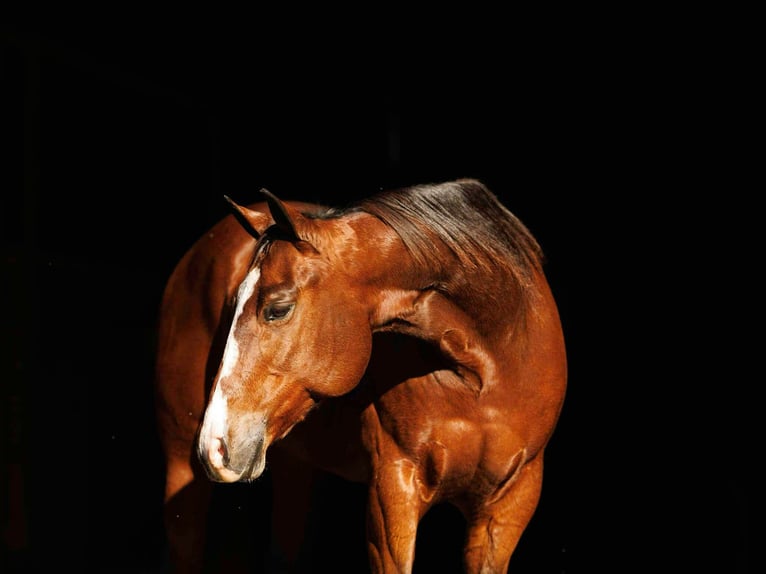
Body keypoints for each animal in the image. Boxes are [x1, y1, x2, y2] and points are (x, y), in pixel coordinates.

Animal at [154, 179, 567, 573]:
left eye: (278, 308)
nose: (215, 445)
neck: (486, 374)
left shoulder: (509, 505)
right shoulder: (392, 494)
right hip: (181, 464)